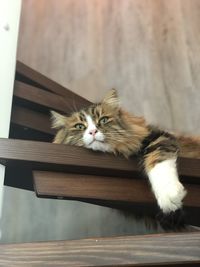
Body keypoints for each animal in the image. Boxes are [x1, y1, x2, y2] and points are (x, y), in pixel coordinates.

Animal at [50, 90, 200, 228]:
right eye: (80, 126)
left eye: (103, 120)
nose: (93, 132)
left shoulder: (158, 136)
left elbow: (158, 161)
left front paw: (169, 196)